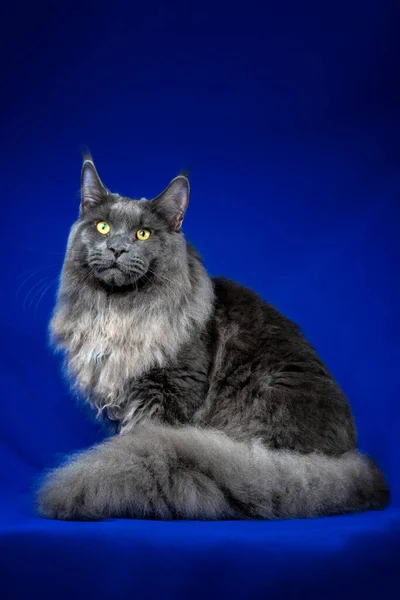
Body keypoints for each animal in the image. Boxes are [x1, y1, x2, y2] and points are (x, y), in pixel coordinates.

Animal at [36, 155, 388, 520]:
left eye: (143, 234)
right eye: (102, 227)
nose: (117, 248)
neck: (118, 312)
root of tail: (349, 461)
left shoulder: (168, 391)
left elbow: (141, 437)